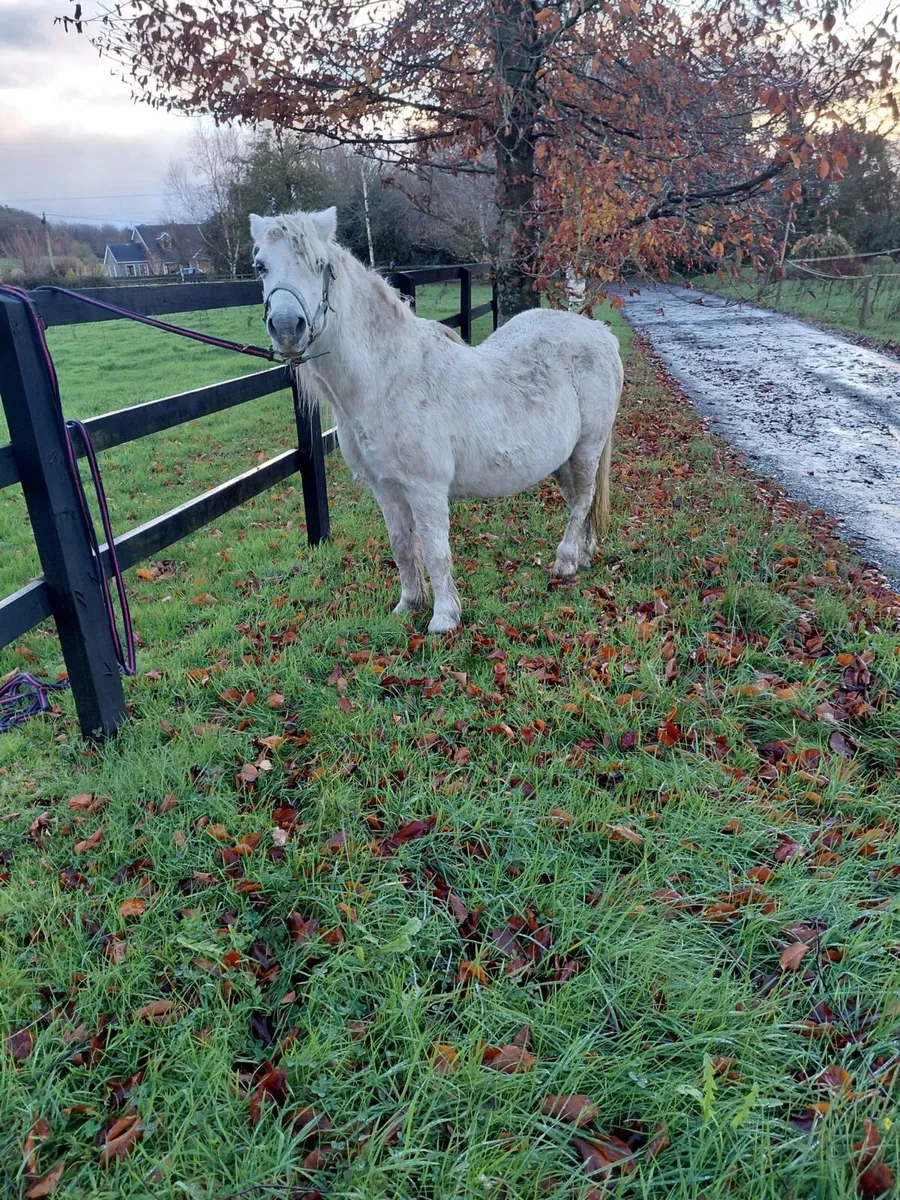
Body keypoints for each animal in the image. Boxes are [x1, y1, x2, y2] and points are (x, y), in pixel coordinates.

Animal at [251, 207, 624, 633]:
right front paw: (409, 604)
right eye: (261, 266)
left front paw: (444, 618)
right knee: (582, 500)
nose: (286, 327)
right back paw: (585, 554)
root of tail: (601, 333)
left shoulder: (425, 488)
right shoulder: (386, 488)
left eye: (319, 264)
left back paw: (565, 562)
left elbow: (434, 550)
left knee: (583, 501)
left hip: (588, 448)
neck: (387, 379)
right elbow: (402, 546)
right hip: (564, 458)